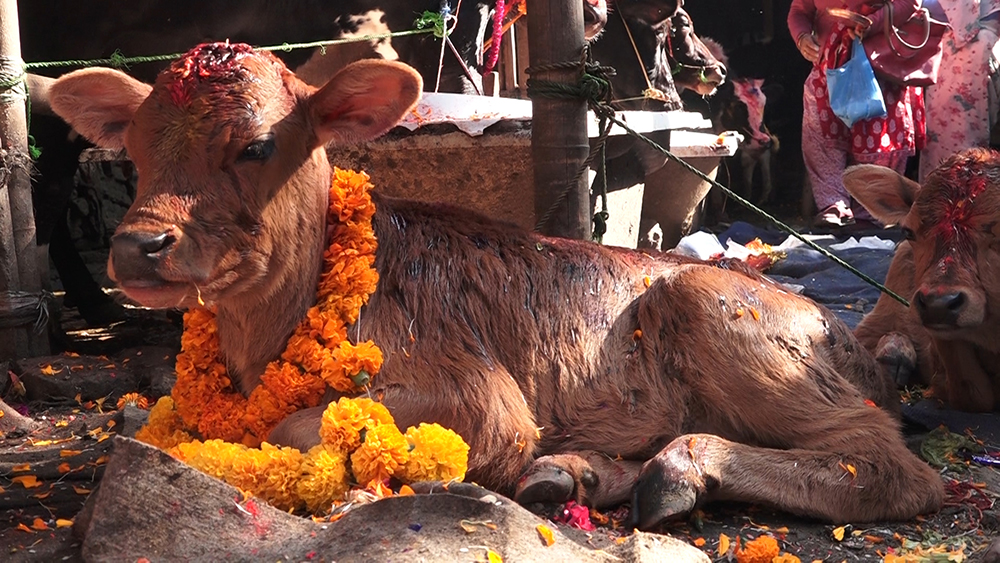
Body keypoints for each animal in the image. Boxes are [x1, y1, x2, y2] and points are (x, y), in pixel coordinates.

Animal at [45, 43, 936, 528]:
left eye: (260, 144)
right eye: (135, 145)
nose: (140, 244)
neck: (260, 342)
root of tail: (845, 333)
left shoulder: (480, 399)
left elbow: (294, 428)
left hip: (722, 314)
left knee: (888, 461)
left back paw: (682, 466)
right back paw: (579, 472)